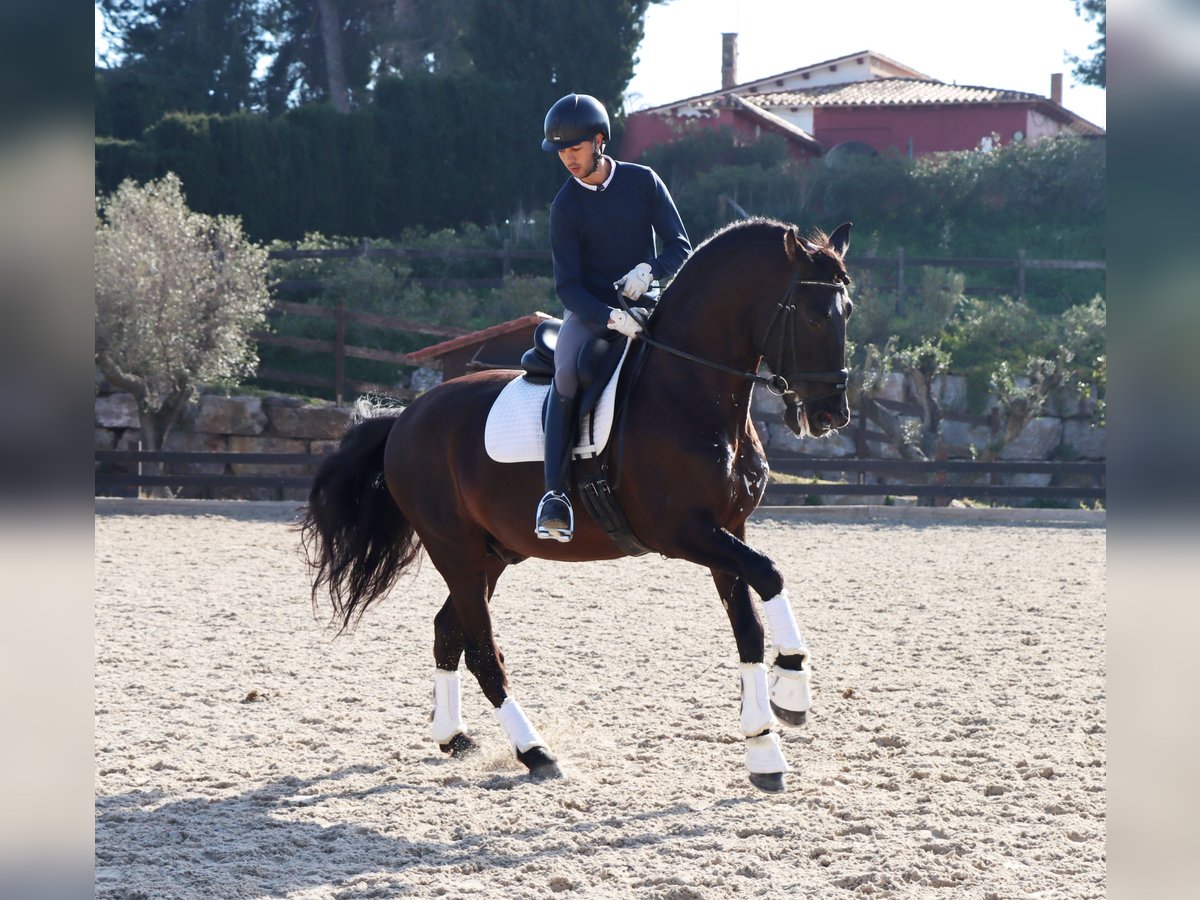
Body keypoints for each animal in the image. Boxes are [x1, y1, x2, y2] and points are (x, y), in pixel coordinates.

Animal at [301, 217, 853, 792]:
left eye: (849, 311)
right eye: (816, 316)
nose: (832, 414)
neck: (692, 393)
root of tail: (405, 419)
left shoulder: (729, 531)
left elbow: (749, 627)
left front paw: (764, 751)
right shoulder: (684, 533)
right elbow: (770, 573)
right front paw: (793, 688)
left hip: (491, 555)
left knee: (448, 633)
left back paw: (454, 738)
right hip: (454, 550)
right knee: (482, 650)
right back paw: (535, 751)